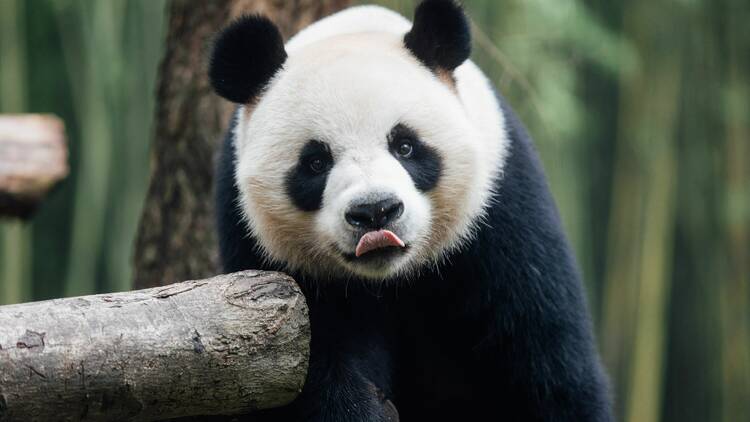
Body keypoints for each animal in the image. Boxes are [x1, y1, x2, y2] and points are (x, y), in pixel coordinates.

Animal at [209, 1, 612, 420]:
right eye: (316, 162)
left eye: (405, 146)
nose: (375, 211)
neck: (391, 278)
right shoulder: (264, 253)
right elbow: (309, 369)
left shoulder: (503, 215)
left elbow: (544, 363)